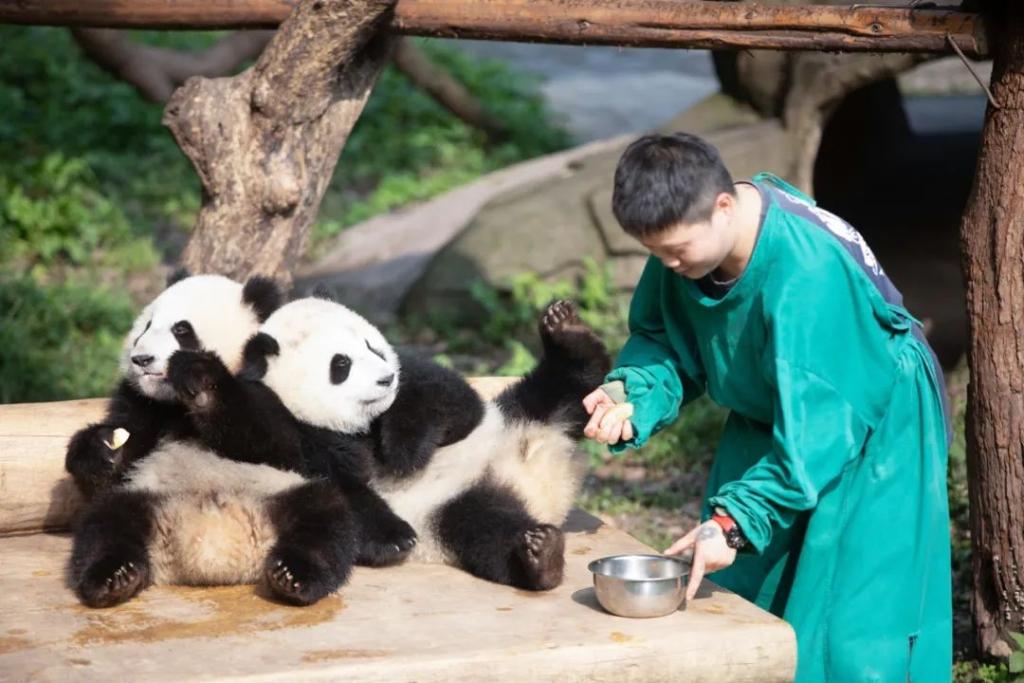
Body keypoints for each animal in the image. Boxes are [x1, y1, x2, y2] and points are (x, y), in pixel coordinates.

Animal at [234, 296, 606, 589]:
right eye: (341, 364)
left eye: (373, 346)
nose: (386, 379)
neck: (363, 427)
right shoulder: (284, 429)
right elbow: (342, 486)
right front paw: (394, 538)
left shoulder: (417, 375)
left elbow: (449, 399)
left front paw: (405, 451)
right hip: (453, 510)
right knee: (488, 531)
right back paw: (541, 557)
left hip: (513, 412)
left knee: (564, 390)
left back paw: (568, 335)